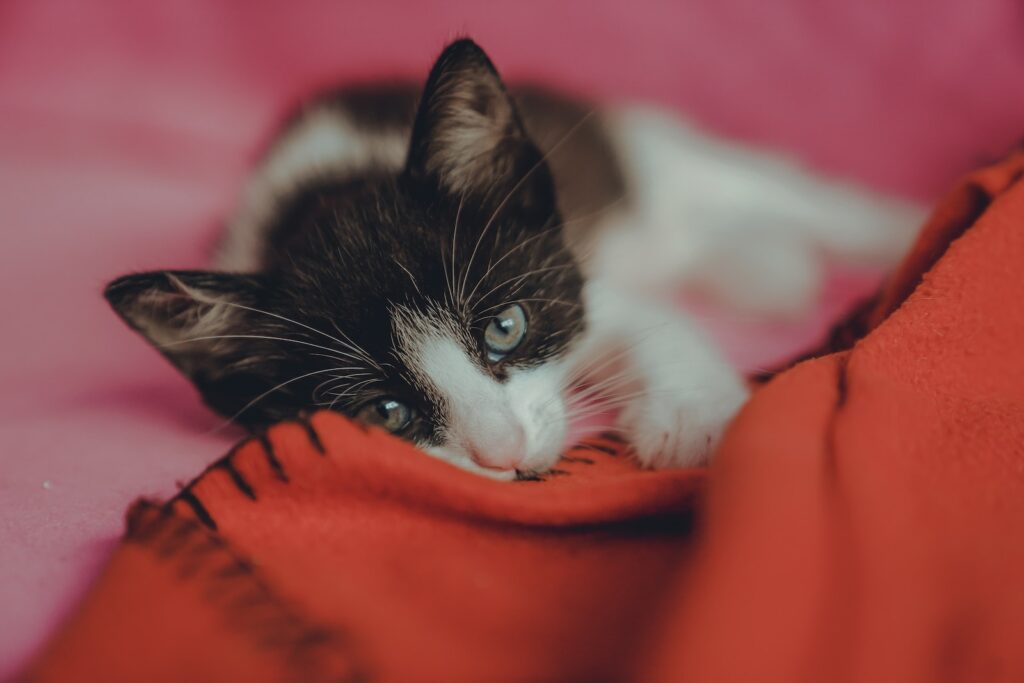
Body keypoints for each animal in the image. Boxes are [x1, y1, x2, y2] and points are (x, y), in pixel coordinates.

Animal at [103, 36, 921, 475]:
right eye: (386, 412)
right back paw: (765, 268)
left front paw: (694, 419)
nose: (503, 453)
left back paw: (899, 225)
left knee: (776, 186)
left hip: (649, 154)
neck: (329, 188)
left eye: (505, 328)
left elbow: (648, 323)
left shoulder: (568, 266)